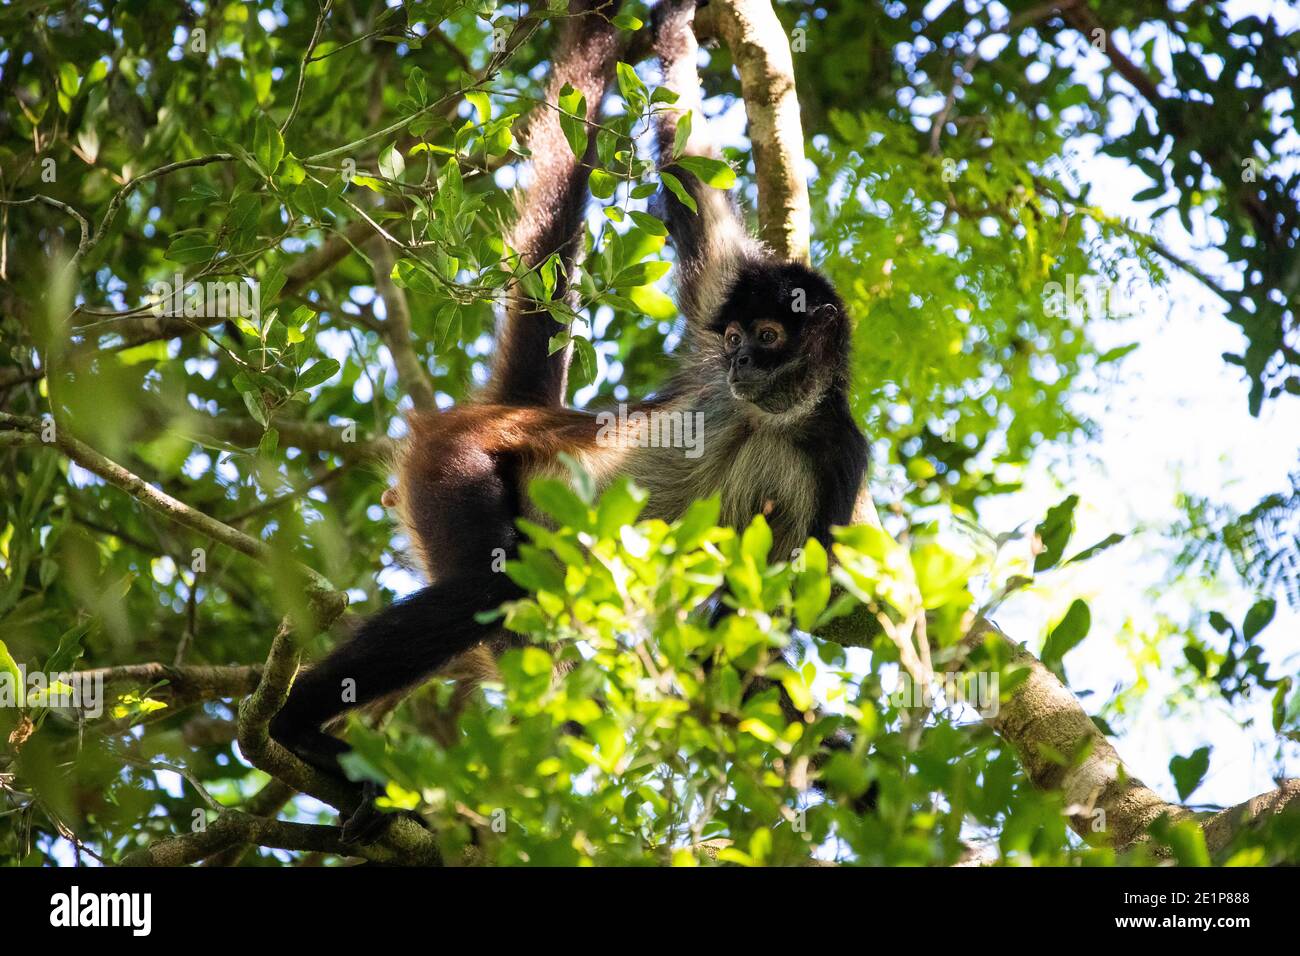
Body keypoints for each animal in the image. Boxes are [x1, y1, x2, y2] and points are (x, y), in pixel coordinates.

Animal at [269, 0, 868, 832]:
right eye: (738, 337)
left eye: (771, 338)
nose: (743, 363)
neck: (774, 418)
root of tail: (510, 413)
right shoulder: (717, 326)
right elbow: (689, 176)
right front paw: (677, 25)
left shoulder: (836, 462)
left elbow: (745, 630)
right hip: (459, 467)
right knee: (486, 594)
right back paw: (296, 726)